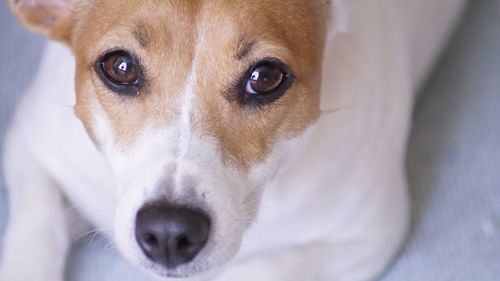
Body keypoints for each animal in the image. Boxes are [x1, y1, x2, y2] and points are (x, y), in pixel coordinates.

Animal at [1, 0, 466, 278]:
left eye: (265, 77)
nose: (169, 232)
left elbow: (259, 270)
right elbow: (35, 228)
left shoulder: (366, 236)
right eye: (120, 67)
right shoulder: (31, 141)